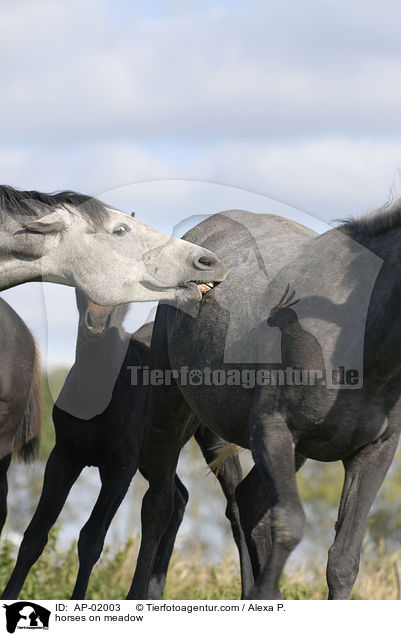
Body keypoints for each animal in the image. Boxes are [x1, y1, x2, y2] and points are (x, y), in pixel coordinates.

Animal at [126, 205, 400, 600]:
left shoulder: (374, 451)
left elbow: (344, 560)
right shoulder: (272, 429)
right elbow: (289, 525)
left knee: (245, 501)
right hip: (169, 409)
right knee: (159, 506)